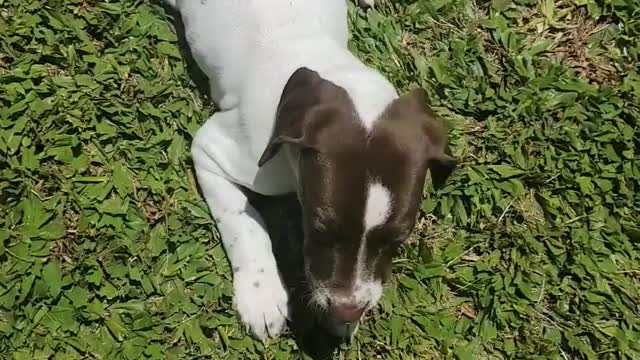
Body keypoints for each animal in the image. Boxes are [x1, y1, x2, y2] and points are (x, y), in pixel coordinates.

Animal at [164, 0, 456, 342]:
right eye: (319, 231)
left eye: (397, 241)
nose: (347, 311)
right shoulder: (211, 150)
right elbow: (242, 223)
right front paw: (261, 294)